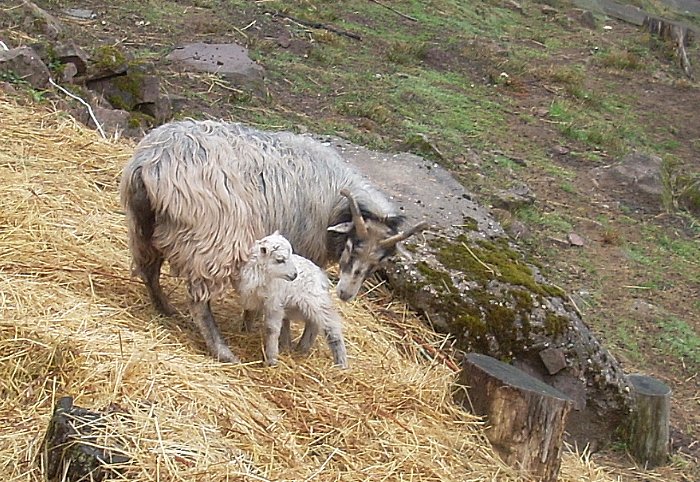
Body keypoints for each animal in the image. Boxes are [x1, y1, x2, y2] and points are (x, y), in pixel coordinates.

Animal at [238, 233, 348, 368]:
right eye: (280, 260)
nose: (295, 275)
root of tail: (321, 275)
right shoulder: (252, 298)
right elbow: (249, 315)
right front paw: (245, 331)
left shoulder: (274, 303)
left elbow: (271, 329)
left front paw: (271, 358)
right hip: (295, 305)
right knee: (313, 323)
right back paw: (301, 347)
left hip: (315, 301)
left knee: (331, 326)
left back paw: (341, 363)